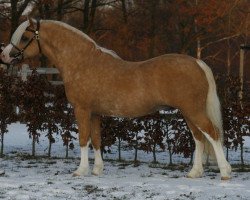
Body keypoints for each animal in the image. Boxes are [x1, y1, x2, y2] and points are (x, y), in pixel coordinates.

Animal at [0, 18, 231, 180]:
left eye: (23, 38)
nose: (4, 56)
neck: (82, 62)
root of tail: (197, 63)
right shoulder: (95, 113)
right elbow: (96, 140)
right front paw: (97, 170)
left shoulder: (82, 110)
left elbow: (83, 139)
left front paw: (80, 171)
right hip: (188, 112)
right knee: (199, 138)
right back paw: (195, 173)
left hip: (193, 111)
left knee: (212, 134)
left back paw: (225, 172)